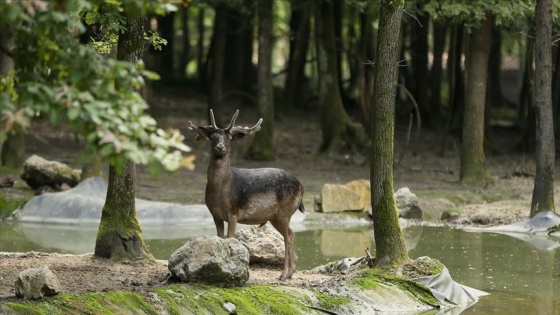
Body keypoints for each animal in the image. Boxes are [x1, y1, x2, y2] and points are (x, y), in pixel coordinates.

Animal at [188, 109, 304, 282]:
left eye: (229, 138)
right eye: (212, 137)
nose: (220, 147)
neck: (223, 188)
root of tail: (302, 186)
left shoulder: (233, 211)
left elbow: (230, 237)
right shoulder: (215, 214)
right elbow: (220, 237)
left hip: (285, 211)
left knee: (288, 236)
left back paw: (283, 274)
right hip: (275, 216)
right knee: (291, 233)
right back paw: (290, 273)